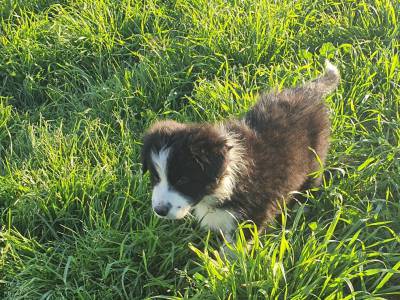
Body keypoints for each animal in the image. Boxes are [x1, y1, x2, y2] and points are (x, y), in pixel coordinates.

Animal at [141, 60, 340, 239]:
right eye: (155, 177)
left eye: (183, 179)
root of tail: (308, 91)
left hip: (316, 156)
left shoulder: (252, 216)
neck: (225, 179)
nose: (159, 210)